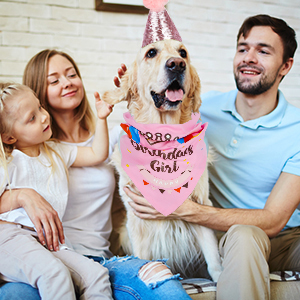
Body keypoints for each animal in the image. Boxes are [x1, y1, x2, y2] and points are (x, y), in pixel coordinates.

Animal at [103, 38, 223, 280]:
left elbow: (214, 260)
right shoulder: (136, 220)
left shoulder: (201, 206)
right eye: (151, 53)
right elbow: (142, 257)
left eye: (183, 53)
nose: (177, 64)